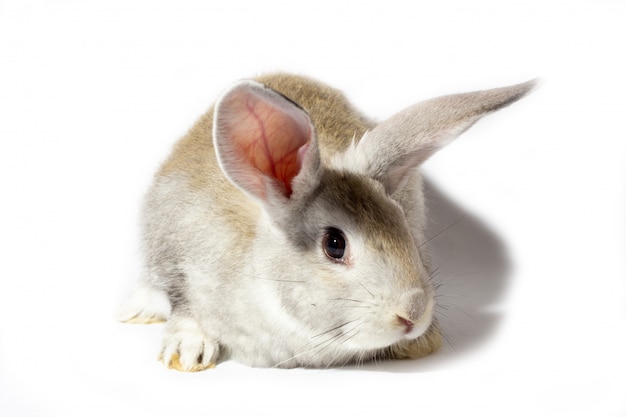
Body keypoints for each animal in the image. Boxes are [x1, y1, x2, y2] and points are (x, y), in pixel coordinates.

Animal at [118, 72, 536, 370]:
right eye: (334, 244)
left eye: (404, 228)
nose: (413, 314)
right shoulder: (177, 257)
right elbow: (184, 306)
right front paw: (188, 351)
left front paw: (422, 343)